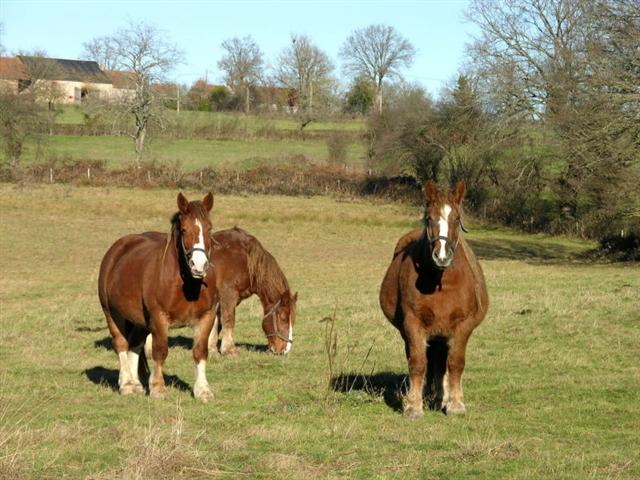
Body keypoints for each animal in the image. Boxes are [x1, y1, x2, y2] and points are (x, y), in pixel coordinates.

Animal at [98, 192, 218, 402]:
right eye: (184, 230)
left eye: (209, 228)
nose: (199, 265)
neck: (186, 283)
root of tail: (116, 250)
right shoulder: (159, 318)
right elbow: (160, 351)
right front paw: (158, 388)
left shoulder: (206, 317)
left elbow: (200, 351)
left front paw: (203, 390)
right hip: (112, 313)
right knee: (121, 344)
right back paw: (127, 384)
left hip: (140, 321)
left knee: (135, 344)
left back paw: (136, 384)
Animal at [206, 227, 297, 356]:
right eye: (283, 318)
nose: (285, 350)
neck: (244, 258)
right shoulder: (228, 293)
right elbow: (228, 319)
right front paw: (229, 350)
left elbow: (216, 321)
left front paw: (211, 349)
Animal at [379, 181, 488, 419]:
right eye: (429, 218)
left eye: (456, 218)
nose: (442, 256)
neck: (440, 281)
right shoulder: (413, 324)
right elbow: (418, 363)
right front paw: (413, 406)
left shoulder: (463, 326)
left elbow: (455, 363)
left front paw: (456, 404)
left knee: (442, 363)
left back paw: (442, 398)